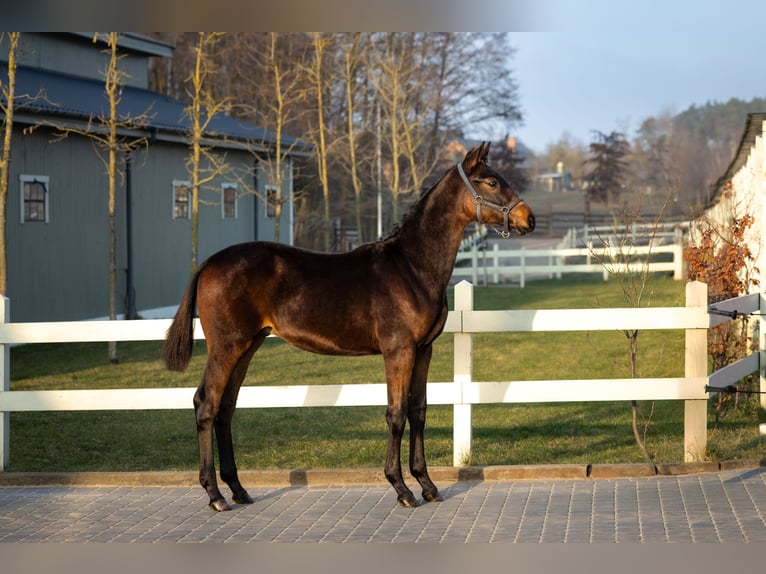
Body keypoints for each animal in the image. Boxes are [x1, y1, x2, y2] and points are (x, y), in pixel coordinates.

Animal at [161, 142, 535, 511]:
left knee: (226, 409)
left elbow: (418, 411)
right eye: (491, 182)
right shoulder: (398, 350)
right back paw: (215, 495)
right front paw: (402, 488)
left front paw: (427, 485)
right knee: (206, 404)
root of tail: (208, 263)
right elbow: (396, 414)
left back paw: (238, 489)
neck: (411, 267)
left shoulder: (423, 350)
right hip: (227, 346)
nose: (528, 219)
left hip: (248, 346)